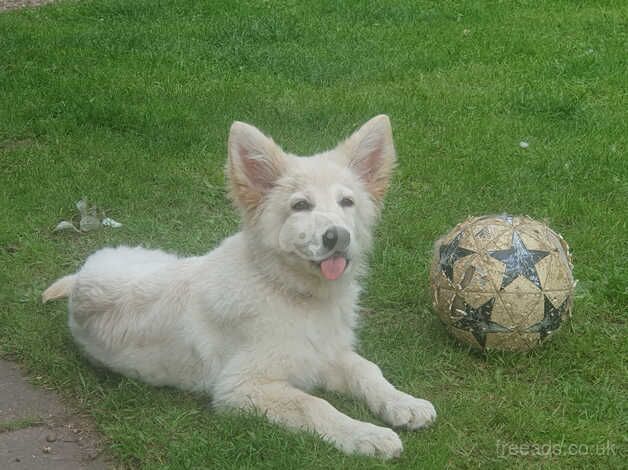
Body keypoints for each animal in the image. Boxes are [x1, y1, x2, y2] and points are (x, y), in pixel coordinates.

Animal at [43, 115, 436, 458]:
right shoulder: (241, 387)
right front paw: (366, 435)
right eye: (300, 205)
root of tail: (83, 275)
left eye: (347, 202)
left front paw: (404, 403)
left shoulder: (326, 354)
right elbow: (314, 404)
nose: (336, 236)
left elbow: (367, 370)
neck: (289, 290)